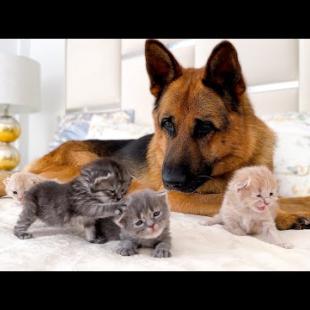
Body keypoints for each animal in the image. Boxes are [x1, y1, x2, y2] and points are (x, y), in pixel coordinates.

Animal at [13, 39, 310, 230]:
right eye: (167, 124)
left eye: (204, 127)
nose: (168, 182)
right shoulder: (181, 196)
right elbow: (225, 200)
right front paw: (284, 216)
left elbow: (286, 198)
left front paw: (298, 206)